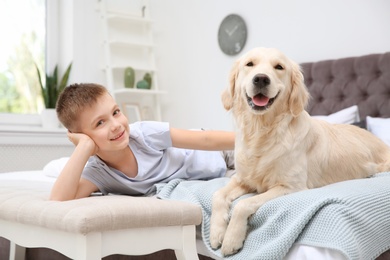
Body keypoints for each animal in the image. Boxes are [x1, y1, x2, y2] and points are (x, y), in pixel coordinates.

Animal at [210, 47, 390, 256]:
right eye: (249, 64)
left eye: (279, 67)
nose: (261, 79)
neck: (262, 131)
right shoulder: (242, 179)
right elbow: (217, 195)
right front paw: (216, 233)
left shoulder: (290, 186)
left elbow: (243, 204)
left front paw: (232, 238)